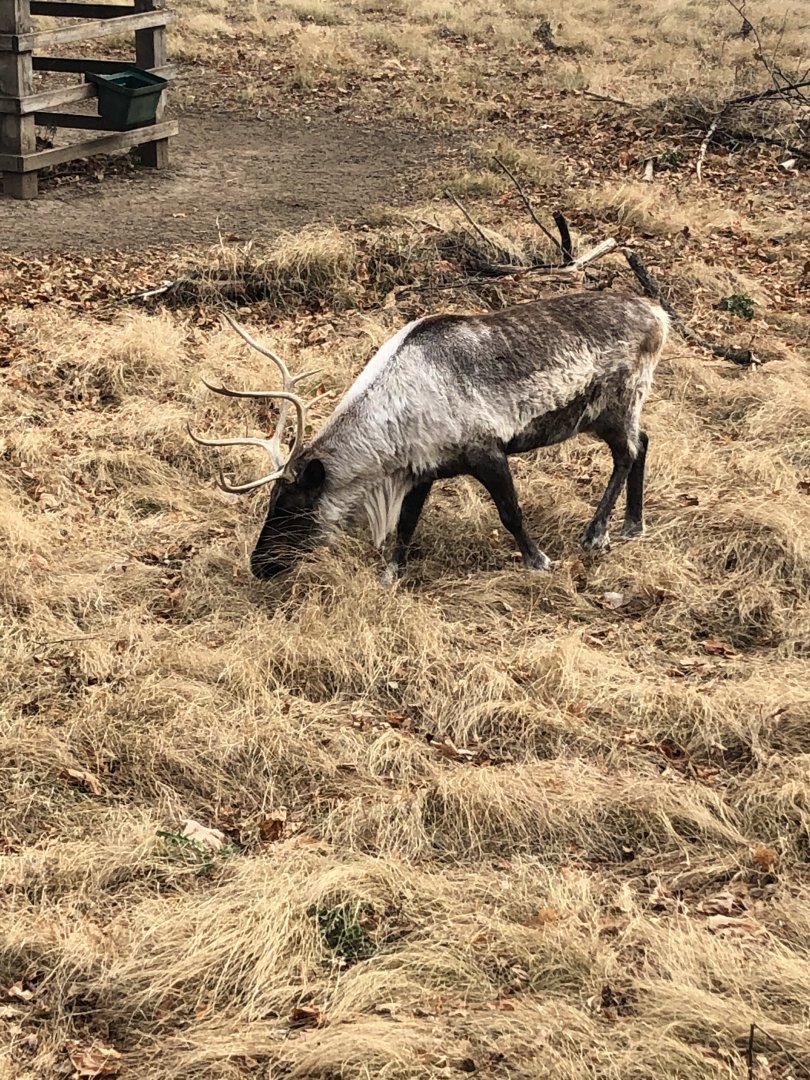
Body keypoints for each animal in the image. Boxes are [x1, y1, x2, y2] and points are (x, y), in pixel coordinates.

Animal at [189, 293, 669, 582]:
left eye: (292, 507)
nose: (258, 566)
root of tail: (660, 316)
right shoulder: (422, 469)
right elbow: (405, 526)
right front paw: (391, 574)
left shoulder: (486, 451)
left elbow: (510, 513)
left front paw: (538, 561)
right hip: (607, 414)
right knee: (645, 441)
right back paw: (632, 523)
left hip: (617, 402)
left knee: (628, 453)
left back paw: (596, 534)